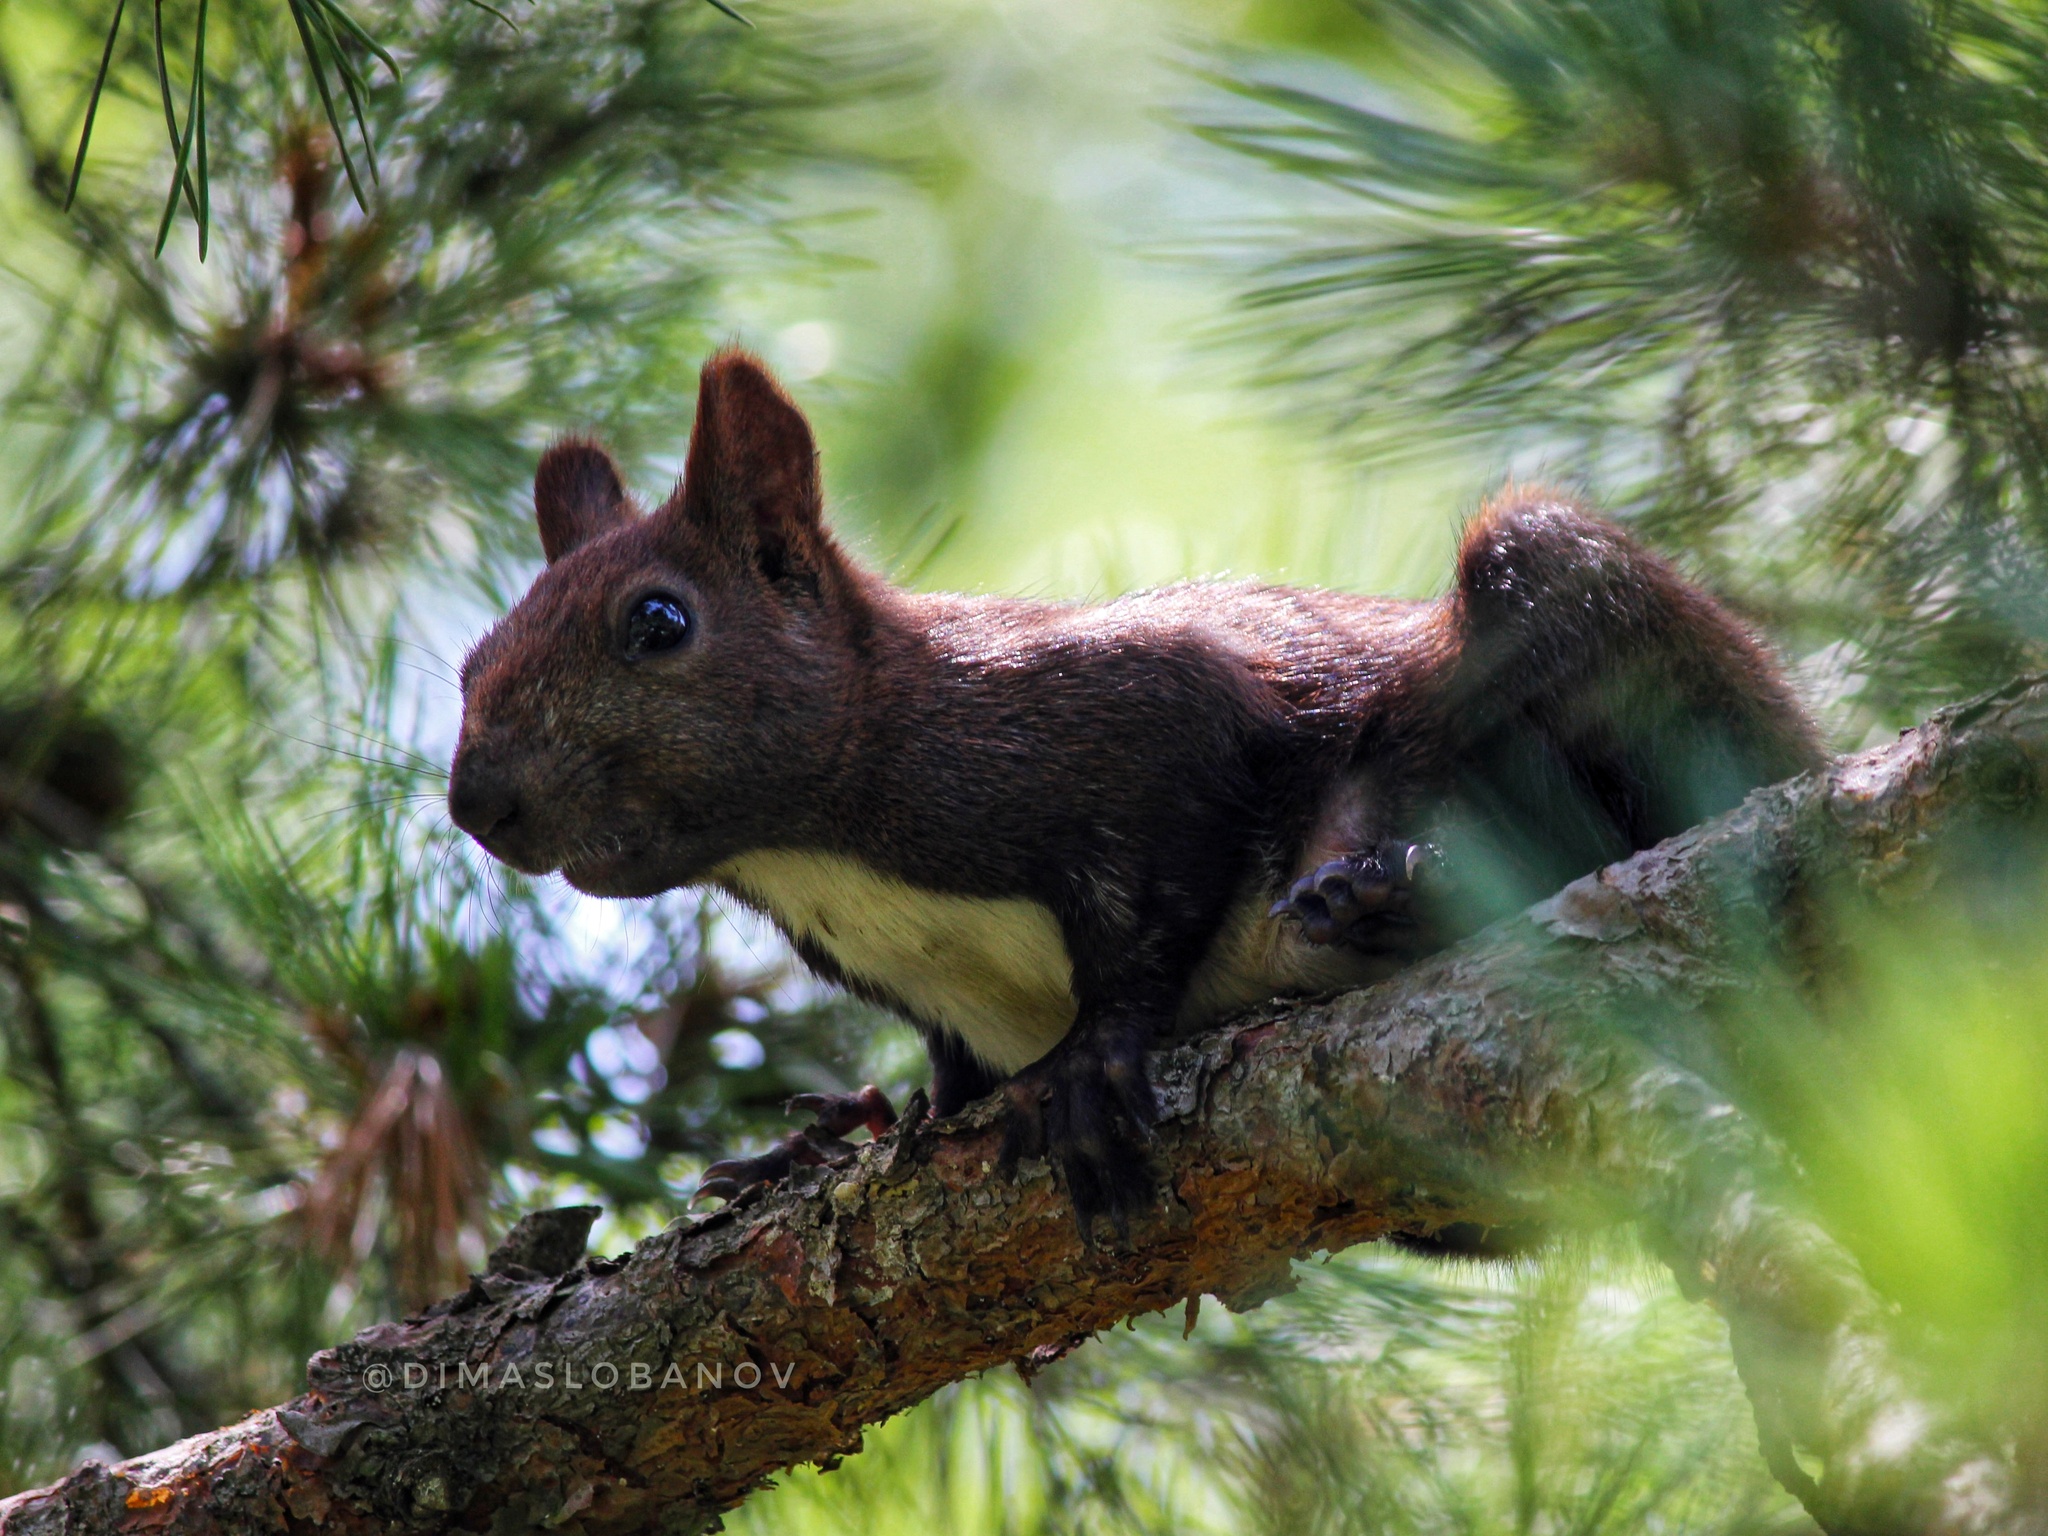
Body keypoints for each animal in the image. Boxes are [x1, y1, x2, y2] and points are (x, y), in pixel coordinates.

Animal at [448, 354, 1826, 1245]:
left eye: (659, 622)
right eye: (468, 660)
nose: (477, 802)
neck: (823, 860)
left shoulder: (1143, 717)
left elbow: (1155, 904)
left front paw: (1090, 1064)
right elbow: (946, 1077)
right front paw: (836, 1135)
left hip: (1582, 621)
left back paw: (1386, 894)